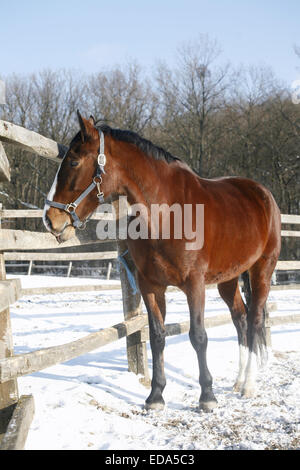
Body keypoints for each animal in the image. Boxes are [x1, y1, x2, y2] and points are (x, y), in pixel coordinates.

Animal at [42, 111, 282, 412]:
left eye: (73, 162)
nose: (50, 219)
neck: (166, 213)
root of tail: (263, 193)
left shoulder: (194, 285)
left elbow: (198, 336)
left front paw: (207, 396)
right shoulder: (150, 286)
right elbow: (157, 336)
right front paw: (155, 395)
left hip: (261, 270)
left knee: (254, 319)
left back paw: (248, 384)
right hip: (228, 279)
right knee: (239, 318)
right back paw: (238, 382)